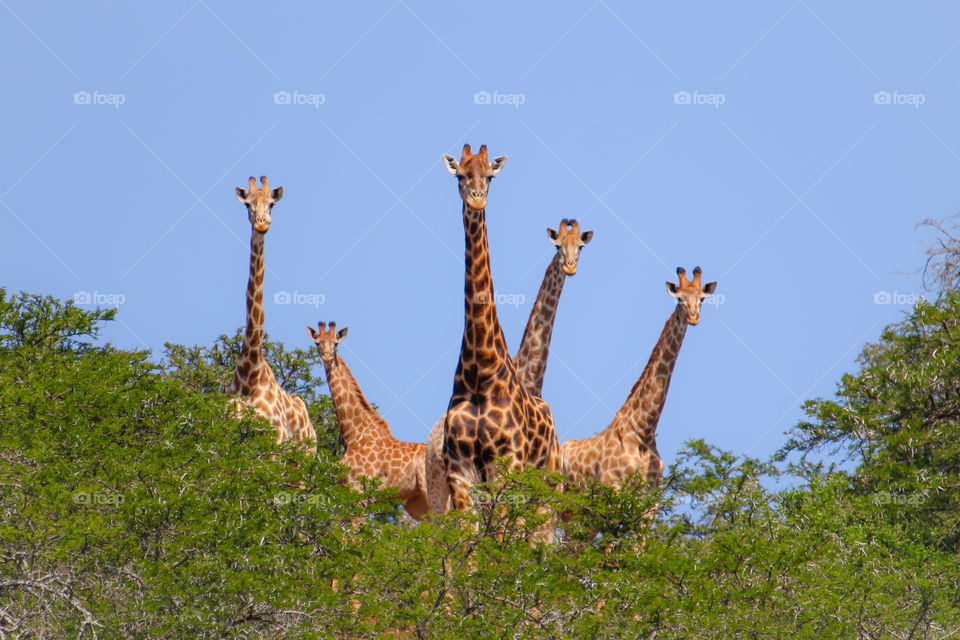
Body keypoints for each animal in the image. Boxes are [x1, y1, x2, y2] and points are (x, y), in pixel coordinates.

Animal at [308, 320, 428, 520]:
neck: (352, 435)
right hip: (417, 503)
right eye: (317, 343)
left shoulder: (361, 492)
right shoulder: (346, 491)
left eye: (336, 344)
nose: (326, 357)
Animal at [436, 144, 560, 516]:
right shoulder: (459, 470)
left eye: (490, 176)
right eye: (461, 175)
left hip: (546, 483)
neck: (480, 372)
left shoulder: (508, 465)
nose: (477, 201)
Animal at [560, 268, 716, 492]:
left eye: (702, 298)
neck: (643, 430)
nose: (694, 318)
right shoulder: (612, 484)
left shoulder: (650, 492)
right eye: (679, 298)